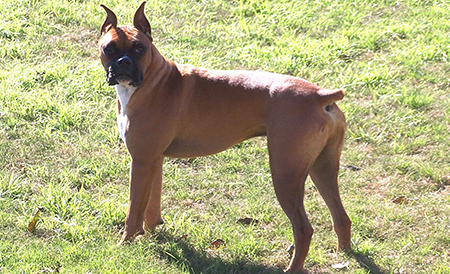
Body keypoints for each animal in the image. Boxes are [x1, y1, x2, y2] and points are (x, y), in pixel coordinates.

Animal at [98, 2, 352, 272]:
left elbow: (134, 209)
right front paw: (152, 233)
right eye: (109, 48)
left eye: (139, 48)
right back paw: (345, 254)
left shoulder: (141, 162)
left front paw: (126, 243)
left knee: (304, 229)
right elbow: (150, 205)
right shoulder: (154, 161)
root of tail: (319, 95)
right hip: (322, 169)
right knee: (341, 217)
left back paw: (293, 267)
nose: (124, 62)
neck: (152, 81)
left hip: (286, 175)